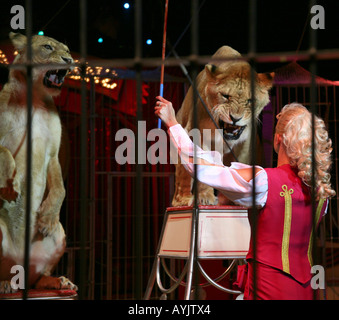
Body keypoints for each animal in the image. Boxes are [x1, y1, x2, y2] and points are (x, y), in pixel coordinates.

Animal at [0, 32, 77, 292]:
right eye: (47, 47)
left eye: (68, 50)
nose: (69, 60)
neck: (32, 99)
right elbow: (5, 150)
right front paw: (10, 186)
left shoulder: (53, 151)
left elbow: (61, 187)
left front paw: (47, 217)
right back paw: (4, 284)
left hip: (60, 236)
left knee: (38, 277)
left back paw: (60, 281)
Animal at [174, 45, 274, 206]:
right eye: (225, 96)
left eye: (250, 101)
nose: (235, 118)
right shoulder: (198, 135)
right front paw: (205, 197)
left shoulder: (245, 144)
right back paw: (182, 199)